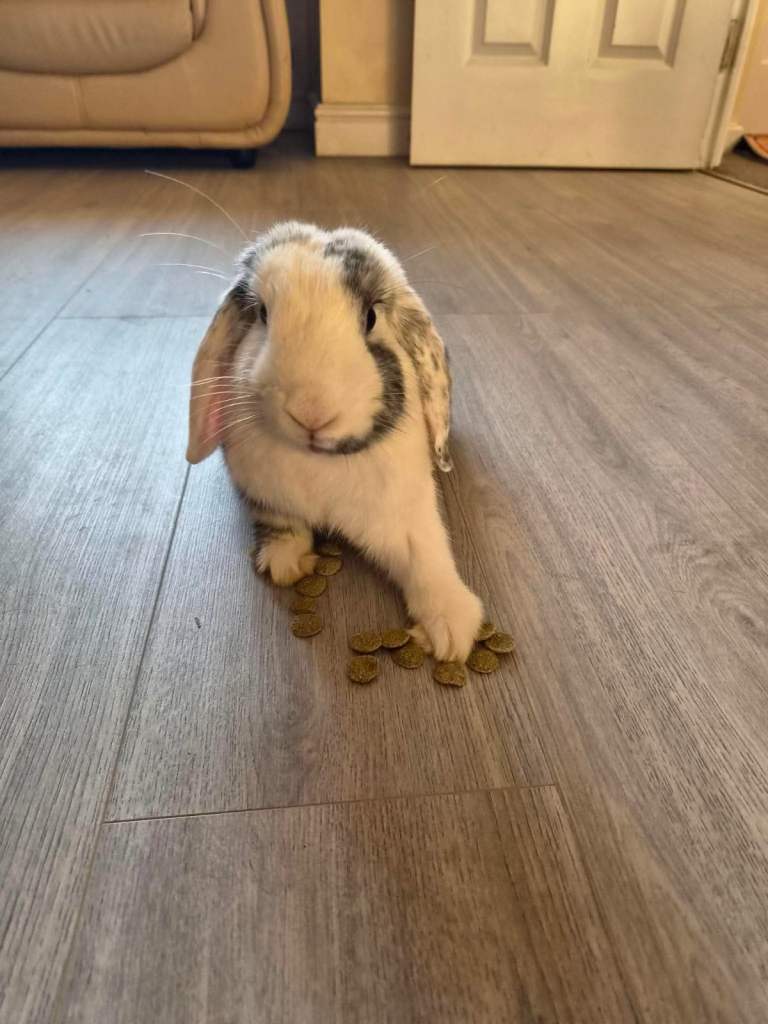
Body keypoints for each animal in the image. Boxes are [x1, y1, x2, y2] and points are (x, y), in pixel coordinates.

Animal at [186, 221, 483, 663]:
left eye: (371, 316)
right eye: (262, 314)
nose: (310, 411)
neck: (318, 461)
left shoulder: (406, 517)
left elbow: (427, 558)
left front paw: (450, 631)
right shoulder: (268, 498)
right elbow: (283, 525)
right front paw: (286, 563)